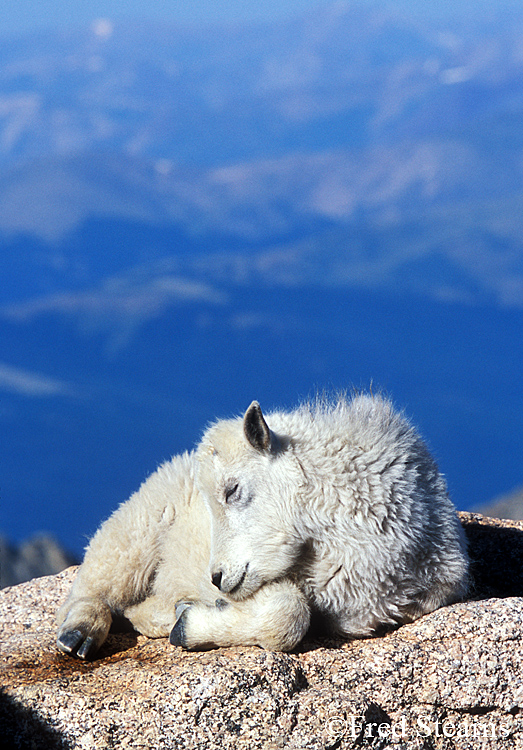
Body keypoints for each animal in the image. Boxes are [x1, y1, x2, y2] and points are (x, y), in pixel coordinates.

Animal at [57, 394, 470, 656]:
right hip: (142, 521)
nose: (216, 577)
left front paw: (182, 619)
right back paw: (78, 634)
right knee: (95, 581)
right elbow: (290, 612)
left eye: (232, 489)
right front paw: (187, 623)